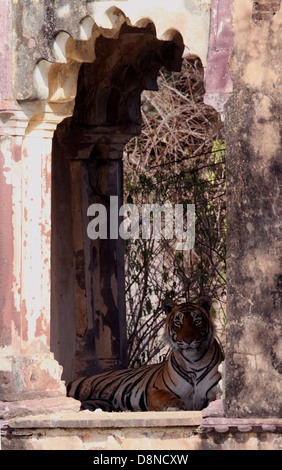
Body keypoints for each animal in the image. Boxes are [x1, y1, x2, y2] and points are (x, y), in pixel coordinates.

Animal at [67, 298, 224, 412]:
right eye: (178, 323)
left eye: (197, 321)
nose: (188, 340)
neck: (193, 361)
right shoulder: (156, 390)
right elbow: (168, 397)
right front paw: (177, 404)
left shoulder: (215, 391)